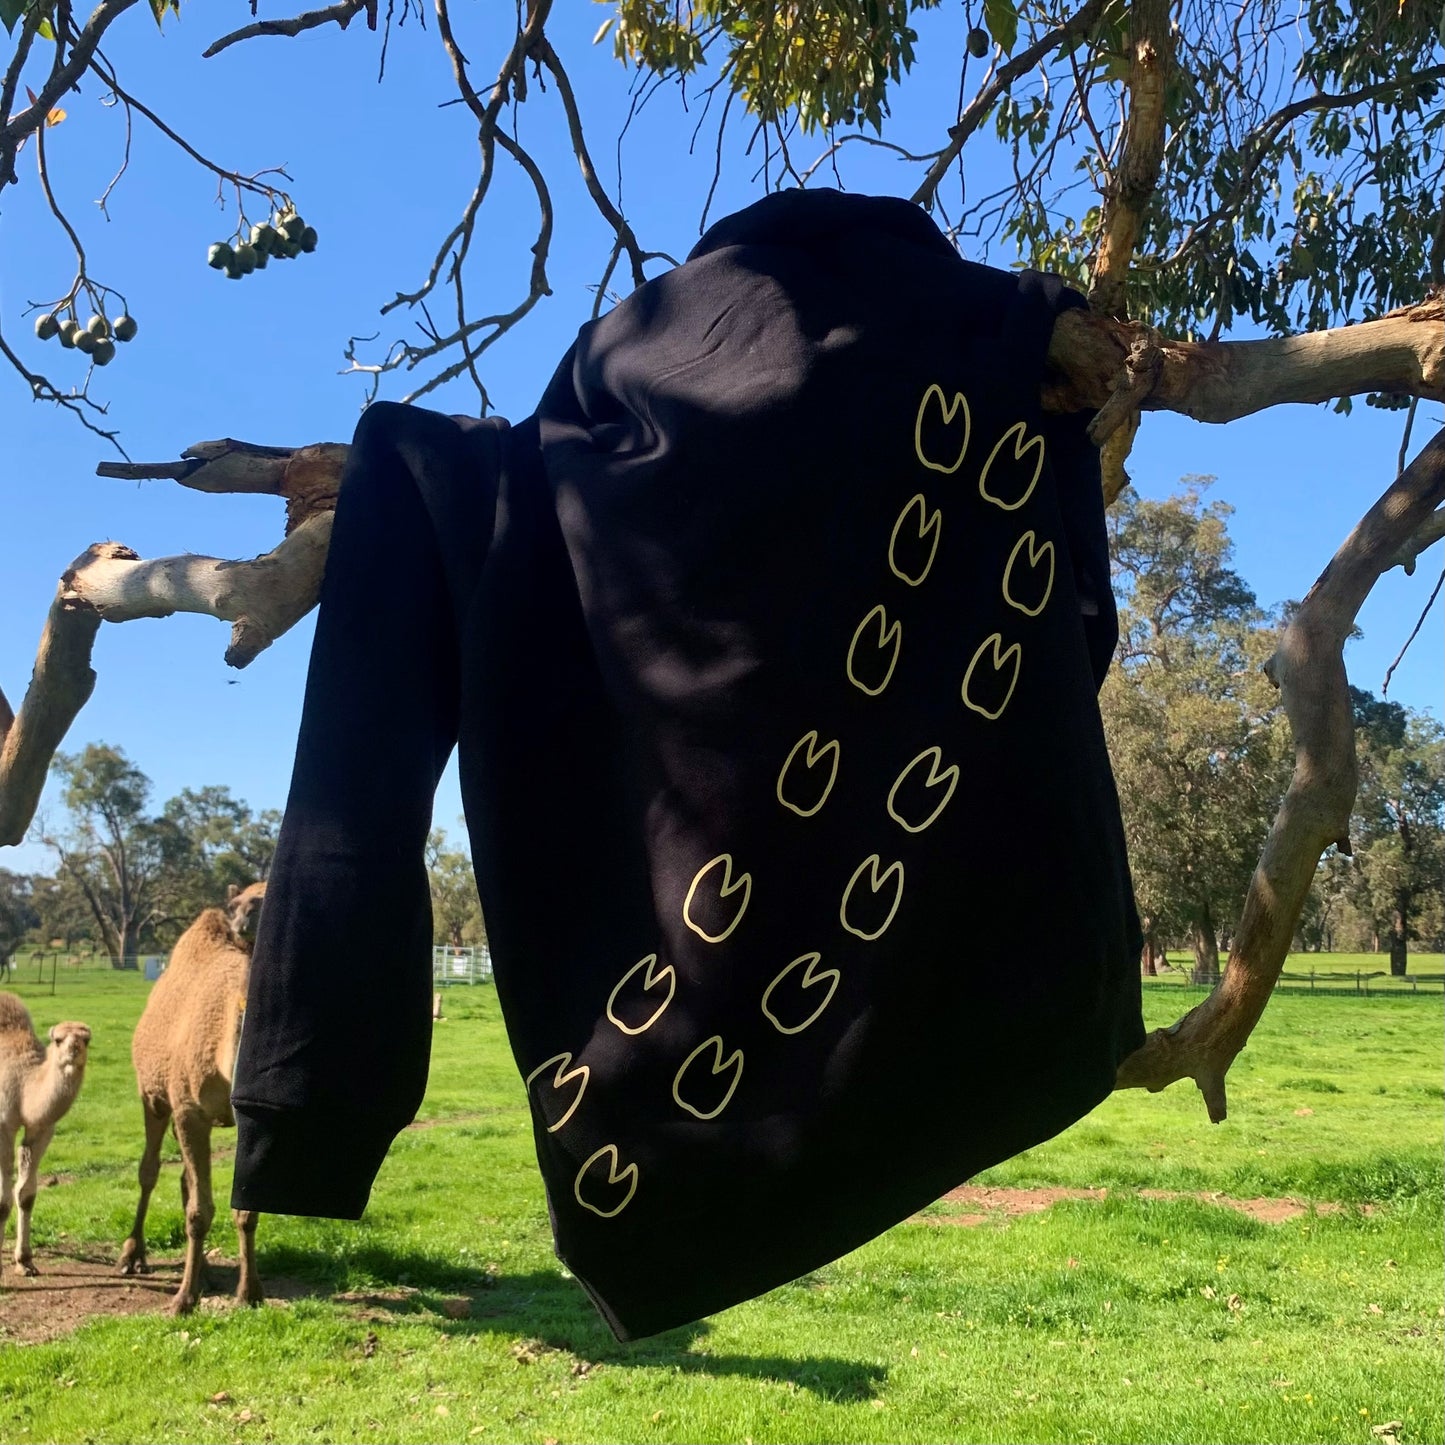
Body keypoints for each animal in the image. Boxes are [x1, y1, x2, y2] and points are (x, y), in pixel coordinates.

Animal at [0, 993, 91, 1278]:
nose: (73, 1051)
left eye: (86, 1039)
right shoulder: (4, 1122)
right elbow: (3, 1199)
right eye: (58, 1039)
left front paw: (25, 1261)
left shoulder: (42, 1128)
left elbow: (26, 1194)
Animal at [118, 881, 265, 1314]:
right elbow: (199, 1211)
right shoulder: (187, 1109)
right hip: (153, 1096)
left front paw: (250, 1292)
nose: (246, 919)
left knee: (185, 1180)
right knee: (150, 1171)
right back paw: (133, 1256)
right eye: (239, 902)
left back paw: (204, 1272)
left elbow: (245, 1210)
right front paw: (183, 1299)